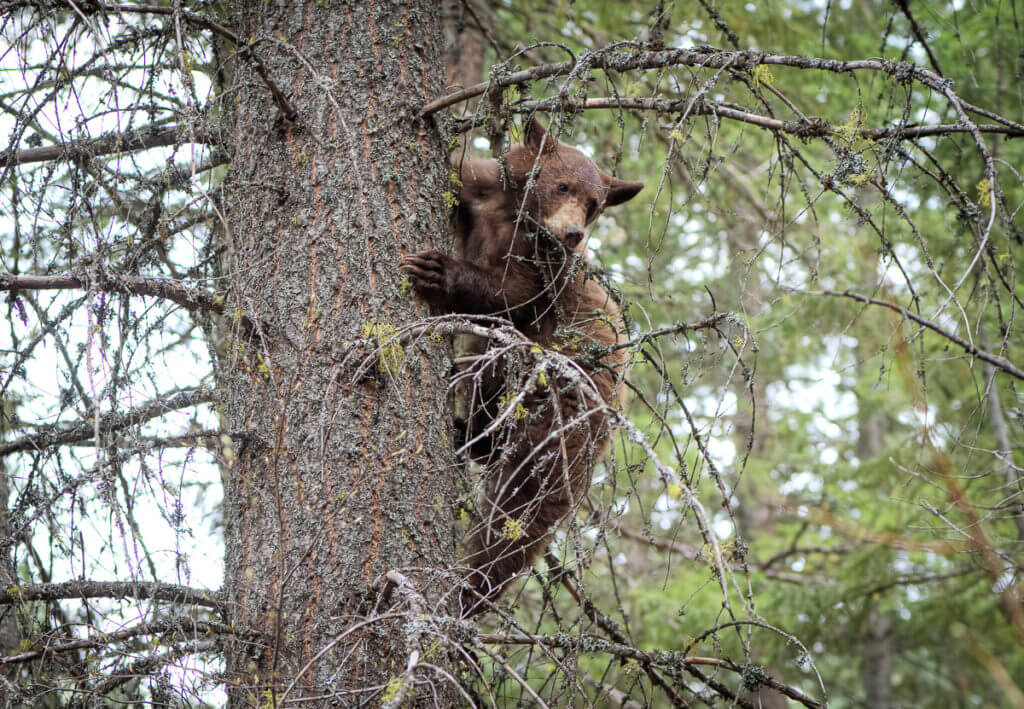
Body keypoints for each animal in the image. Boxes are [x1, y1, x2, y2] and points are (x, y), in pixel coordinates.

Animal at [399, 117, 638, 614]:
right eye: (563, 184)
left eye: (594, 206)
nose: (572, 233)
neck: (513, 216)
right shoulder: (478, 194)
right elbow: (460, 172)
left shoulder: (545, 271)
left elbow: (510, 293)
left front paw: (437, 270)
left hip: (552, 386)